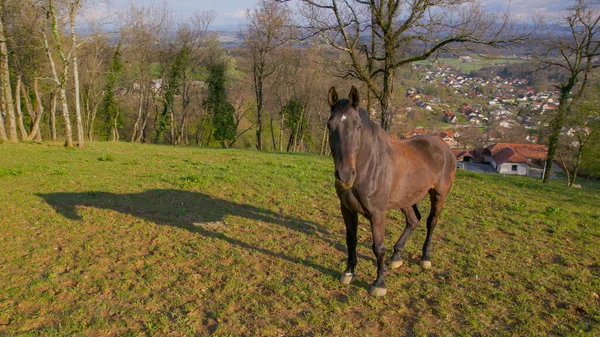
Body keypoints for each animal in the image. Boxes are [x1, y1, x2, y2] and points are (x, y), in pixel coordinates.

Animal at [328, 85, 454, 296]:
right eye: (330, 126)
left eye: (358, 126)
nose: (345, 176)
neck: (369, 165)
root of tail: (444, 148)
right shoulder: (347, 209)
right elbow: (351, 240)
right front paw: (349, 272)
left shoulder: (377, 213)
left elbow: (378, 247)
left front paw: (379, 283)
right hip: (406, 198)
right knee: (413, 220)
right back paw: (396, 258)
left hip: (439, 195)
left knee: (431, 222)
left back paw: (425, 258)